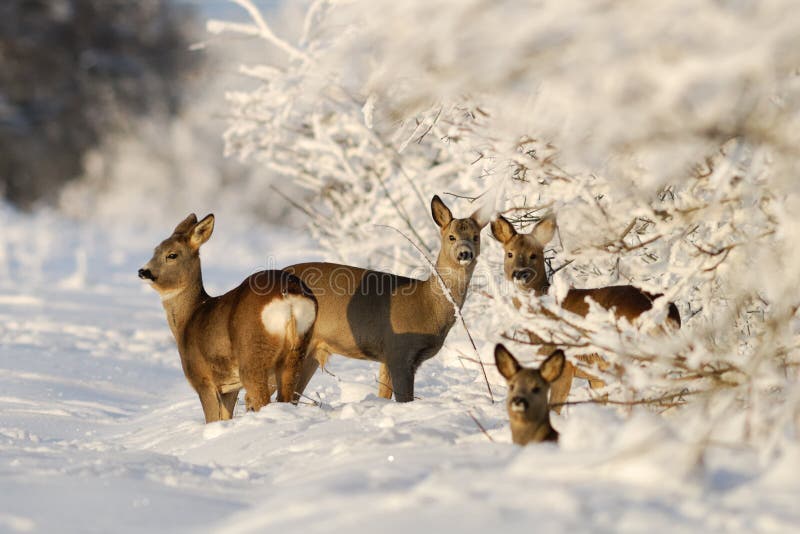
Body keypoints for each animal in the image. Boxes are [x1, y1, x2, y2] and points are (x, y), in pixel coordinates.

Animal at [138, 216, 316, 426]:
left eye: (172, 254)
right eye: (155, 250)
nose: (143, 271)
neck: (188, 319)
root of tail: (288, 296)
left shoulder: (203, 379)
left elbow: (212, 419)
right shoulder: (229, 388)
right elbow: (224, 417)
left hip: (253, 355)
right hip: (297, 352)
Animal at [284, 196, 490, 402]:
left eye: (476, 236)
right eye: (451, 236)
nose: (465, 253)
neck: (427, 305)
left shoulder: (388, 357)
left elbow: (384, 395)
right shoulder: (399, 350)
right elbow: (404, 399)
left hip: (312, 351)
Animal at [488, 216, 680, 412]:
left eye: (533, 255)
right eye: (509, 253)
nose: (520, 273)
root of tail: (670, 313)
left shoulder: (566, 365)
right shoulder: (595, 375)